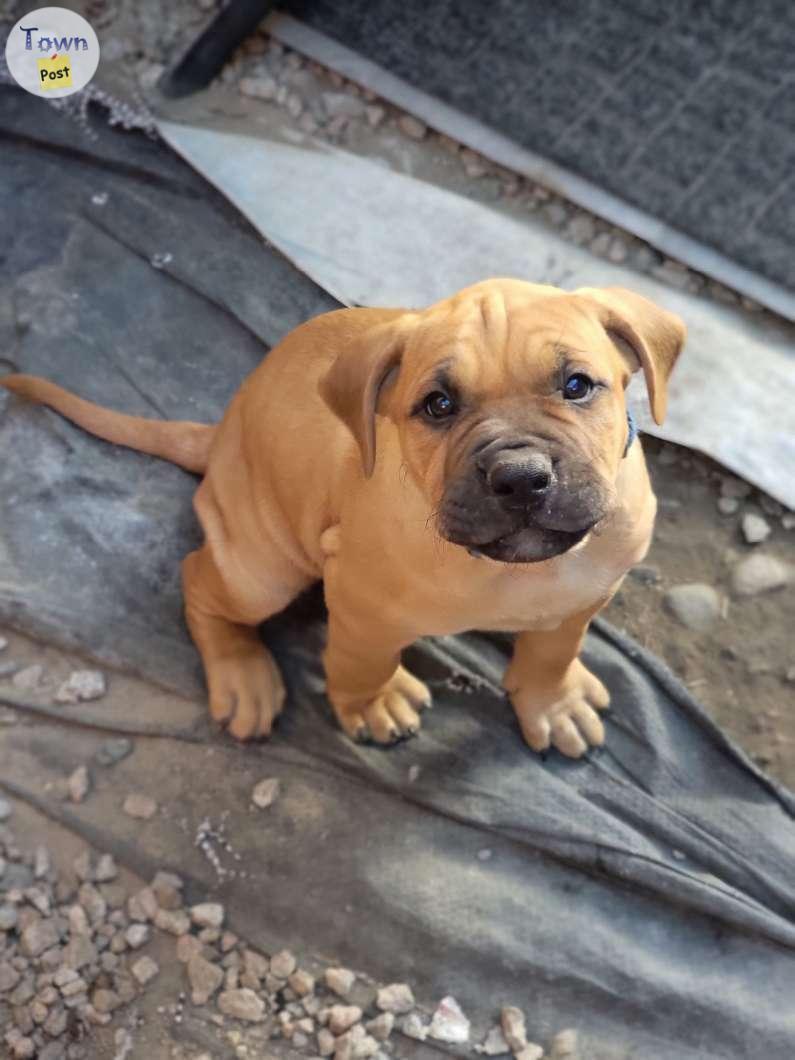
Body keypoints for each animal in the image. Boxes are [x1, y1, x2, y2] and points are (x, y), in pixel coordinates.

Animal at [0, 279, 686, 763]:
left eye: (577, 386)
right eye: (438, 405)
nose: (518, 475)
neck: (519, 574)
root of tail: (219, 436)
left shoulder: (584, 595)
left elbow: (553, 650)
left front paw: (554, 700)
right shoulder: (361, 602)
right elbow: (361, 660)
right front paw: (374, 702)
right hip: (262, 570)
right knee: (199, 578)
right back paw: (243, 674)